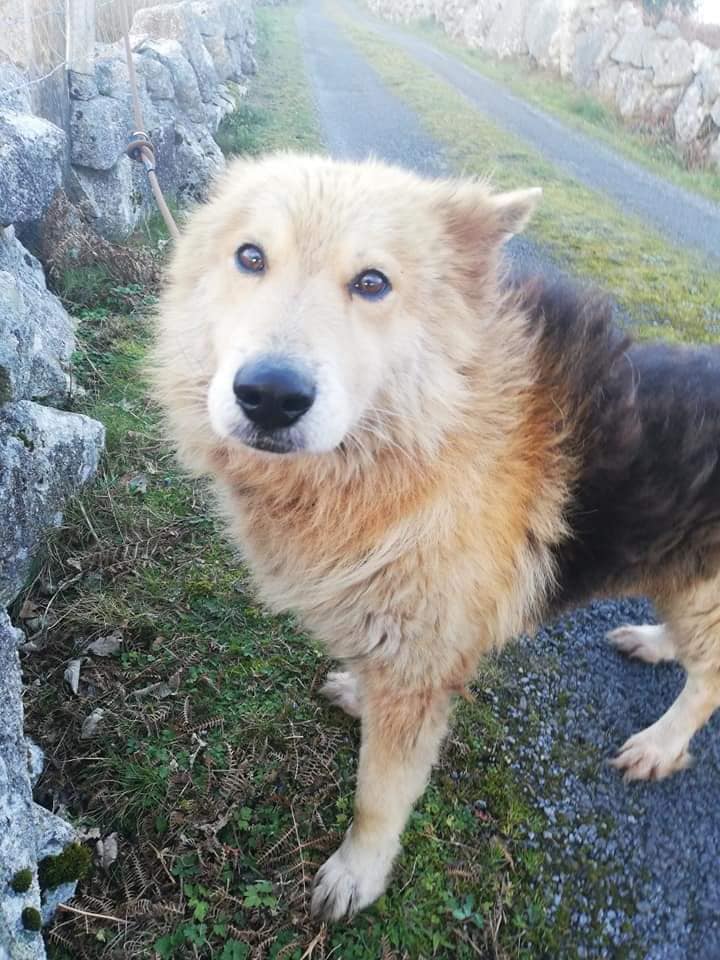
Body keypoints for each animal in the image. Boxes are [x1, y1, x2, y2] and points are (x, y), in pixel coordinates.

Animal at [152, 152, 720, 921]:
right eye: (250, 257)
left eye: (373, 283)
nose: (269, 396)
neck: (427, 432)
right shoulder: (393, 637)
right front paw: (358, 694)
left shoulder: (420, 663)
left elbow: (379, 794)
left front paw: (358, 872)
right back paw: (657, 644)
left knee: (709, 679)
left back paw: (661, 743)